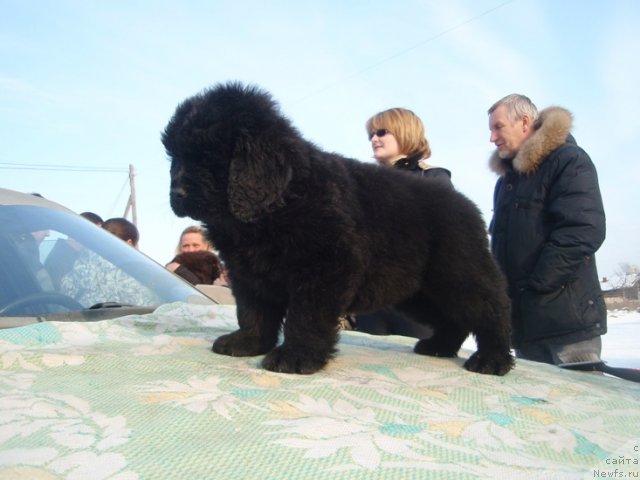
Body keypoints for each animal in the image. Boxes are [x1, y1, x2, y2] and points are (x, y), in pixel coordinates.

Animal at [162, 81, 512, 376]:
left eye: (208, 157)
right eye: (175, 157)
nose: (176, 194)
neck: (278, 201)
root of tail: (465, 203)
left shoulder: (326, 265)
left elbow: (306, 315)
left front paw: (296, 356)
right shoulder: (247, 271)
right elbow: (253, 310)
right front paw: (247, 342)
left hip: (458, 274)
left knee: (490, 310)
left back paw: (491, 359)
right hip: (418, 291)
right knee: (452, 319)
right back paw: (440, 346)